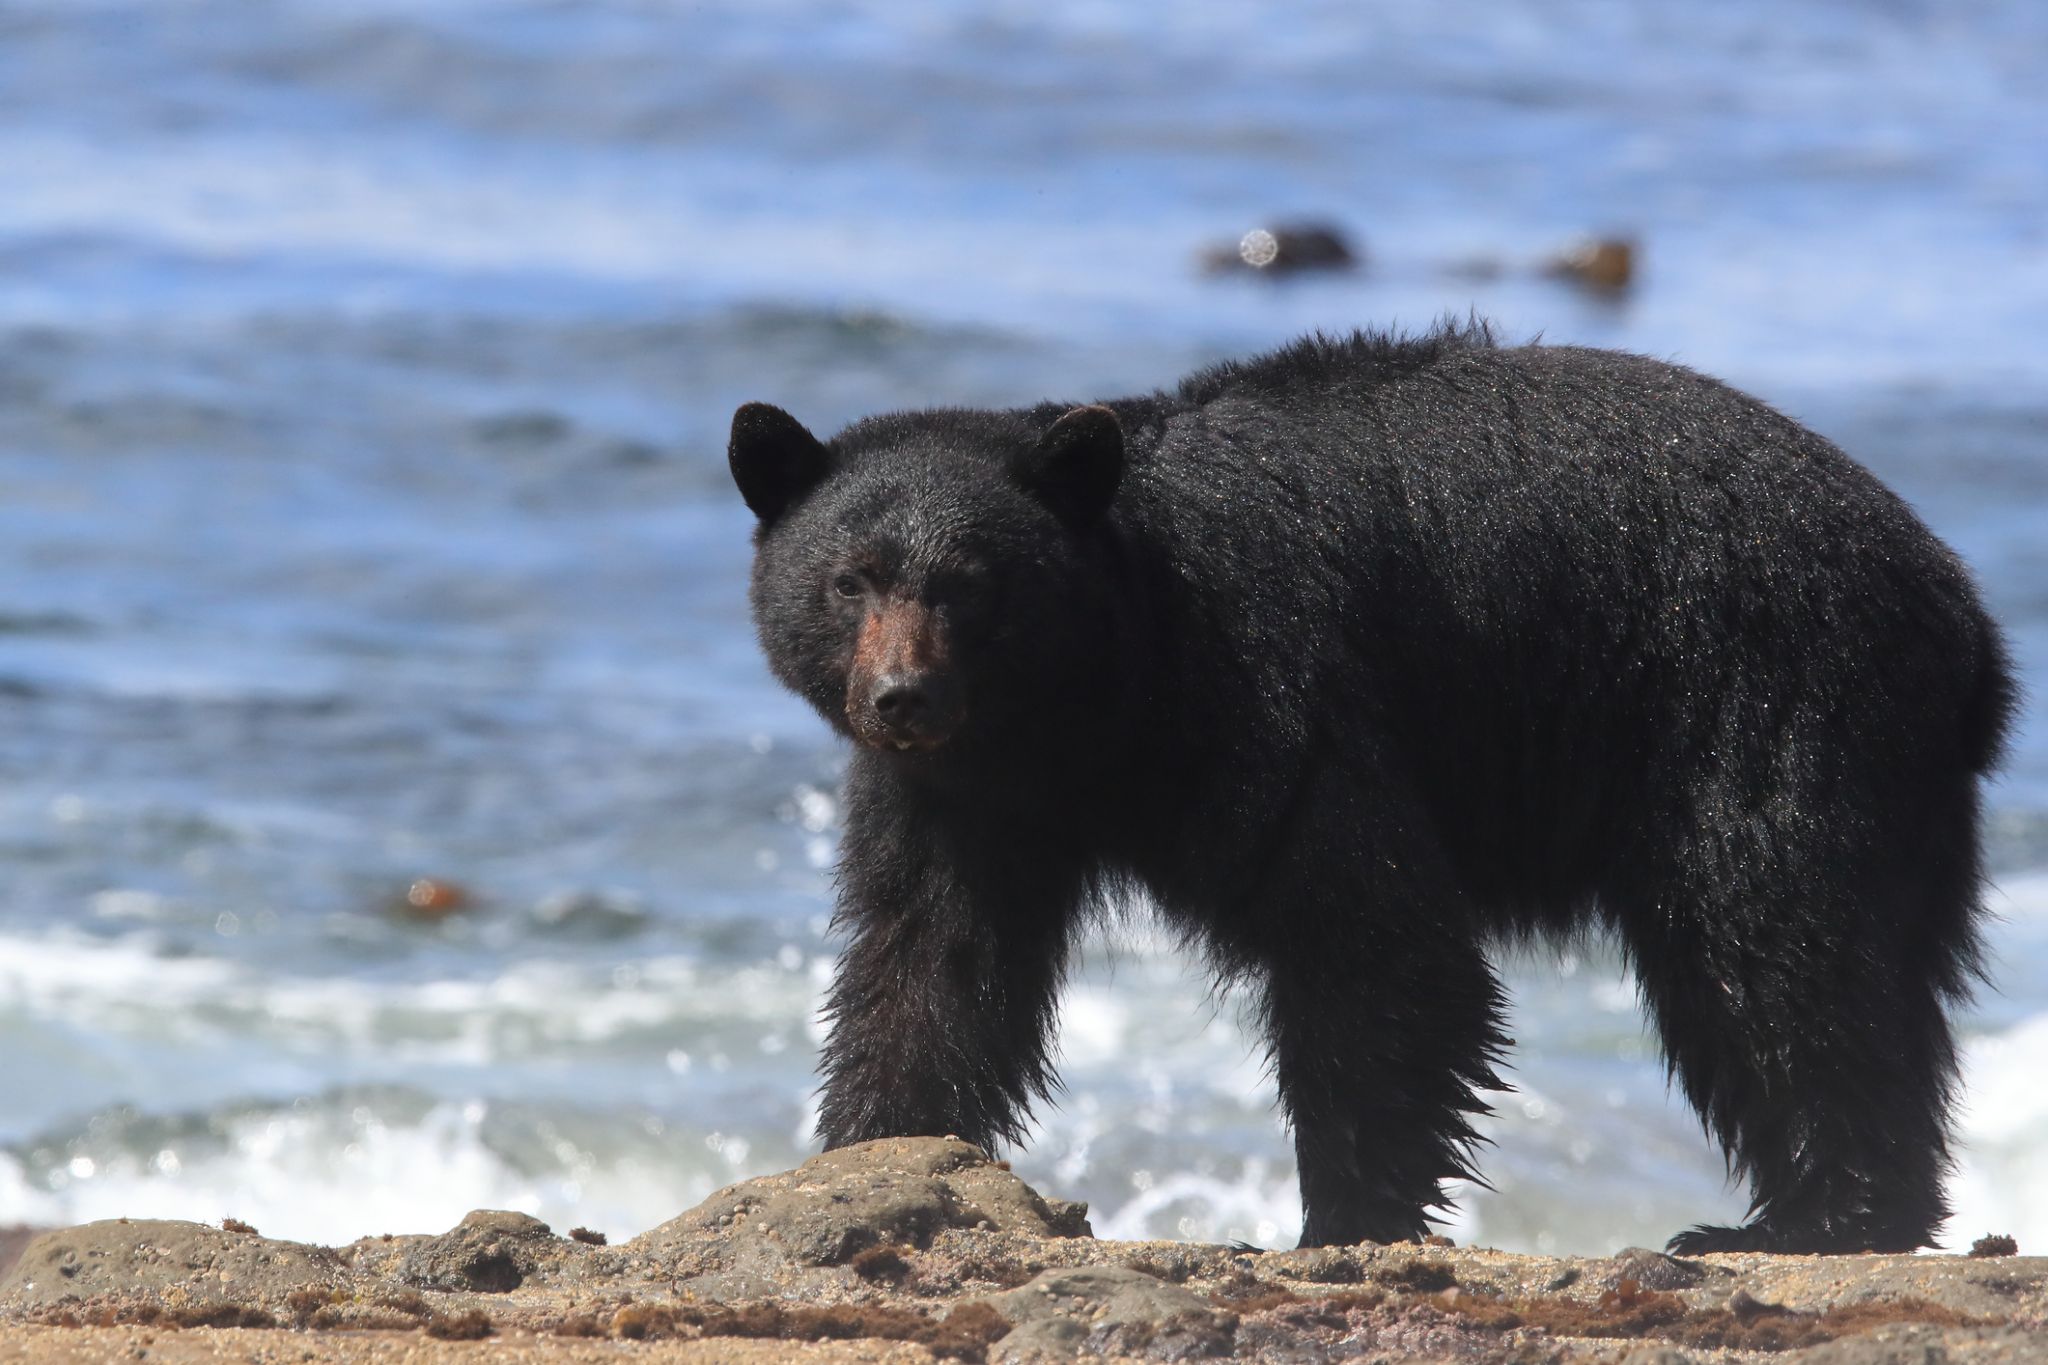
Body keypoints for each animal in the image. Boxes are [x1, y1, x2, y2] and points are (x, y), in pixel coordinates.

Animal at [729, 323, 2007, 1260]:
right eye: (850, 579)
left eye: (971, 582)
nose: (902, 696)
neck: (1097, 698)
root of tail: (1959, 610)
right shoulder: (961, 801)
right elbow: (930, 962)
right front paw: (860, 1157)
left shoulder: (1269, 696)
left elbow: (1370, 941)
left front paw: (1341, 1222)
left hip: (1763, 696)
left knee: (1775, 949)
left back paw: (1808, 1222)